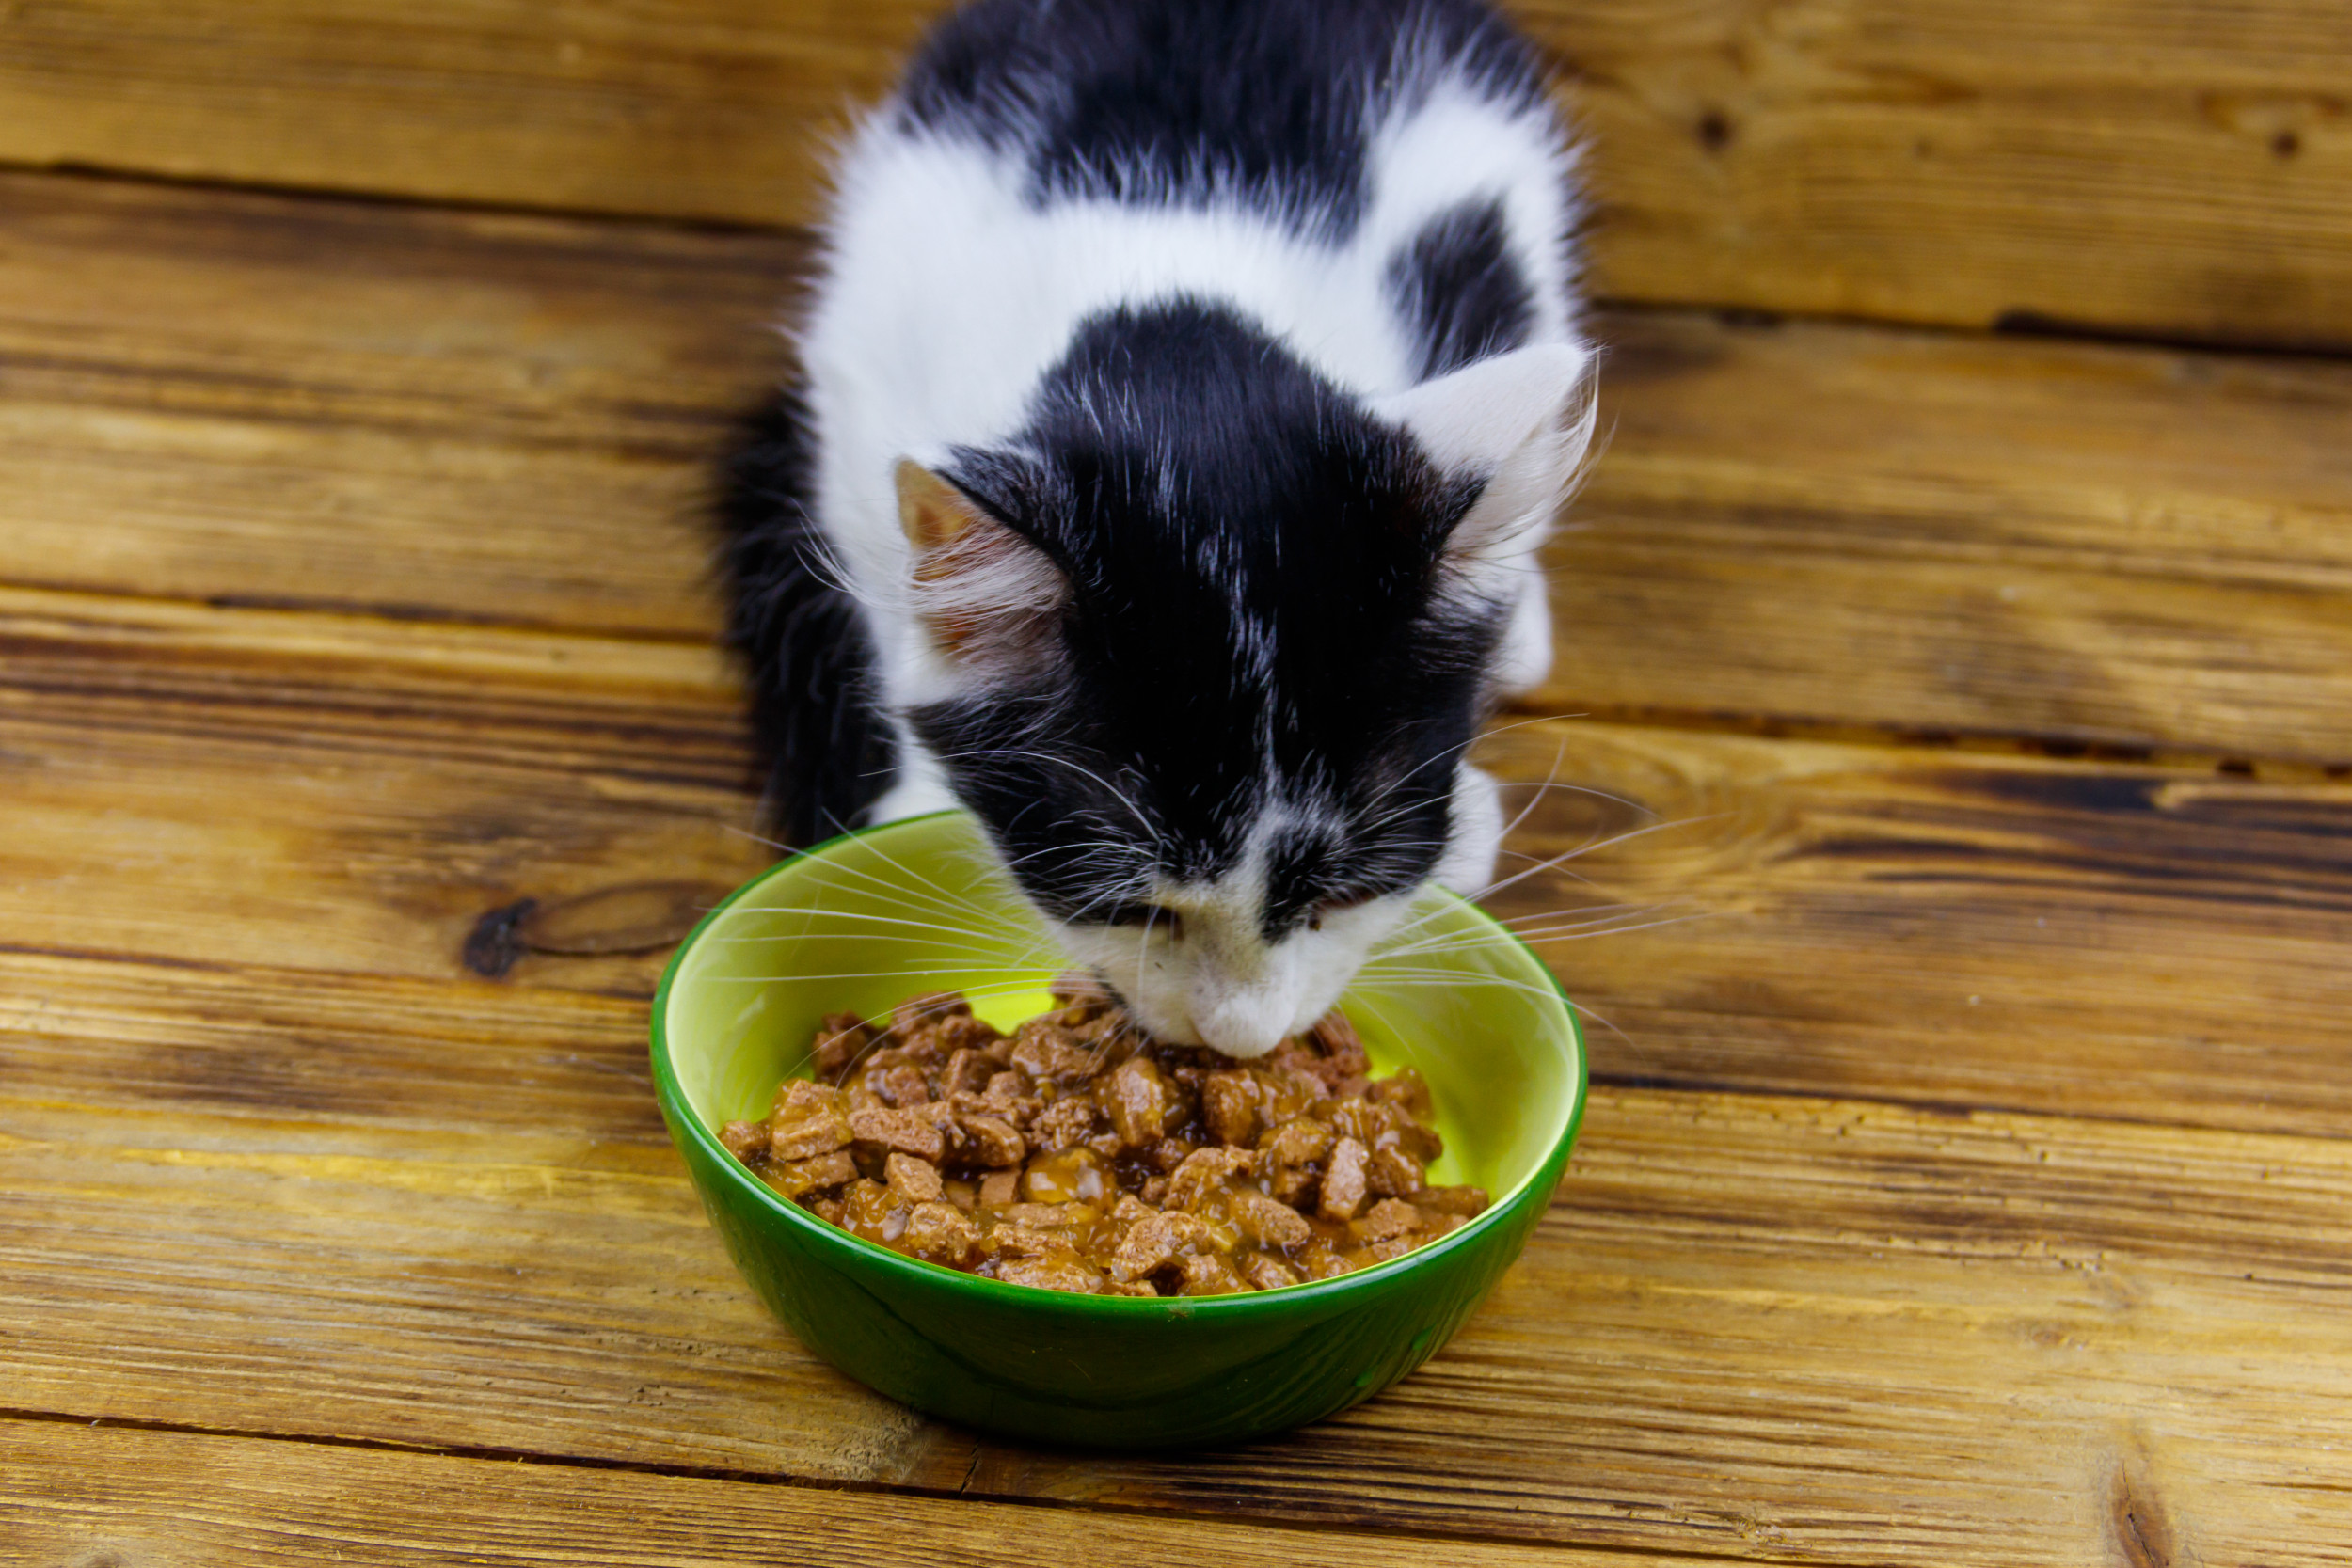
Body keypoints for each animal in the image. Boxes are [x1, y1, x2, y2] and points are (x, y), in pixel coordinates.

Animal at [715, 0, 1599, 1062]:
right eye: (1135, 907)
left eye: (1343, 894)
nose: (1242, 1036)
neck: (1173, 322)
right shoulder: (864, 386)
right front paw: (923, 797)